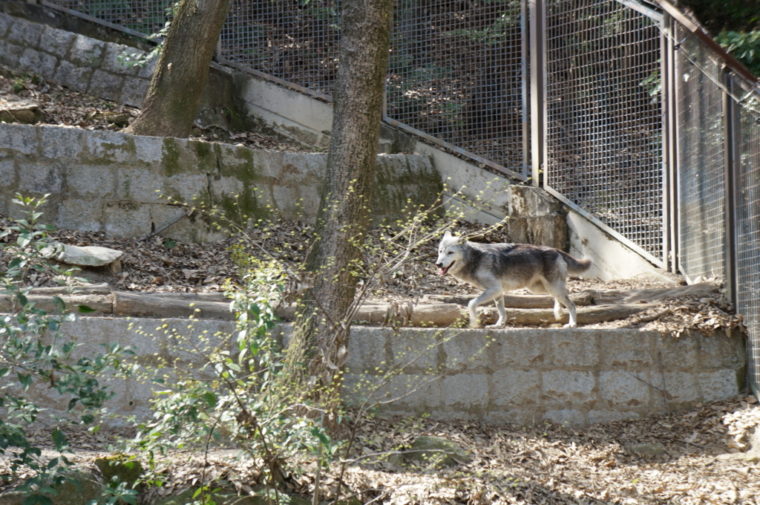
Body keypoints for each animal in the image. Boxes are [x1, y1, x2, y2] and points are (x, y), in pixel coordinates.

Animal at [436, 231, 592, 326]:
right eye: (440, 251)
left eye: (450, 253)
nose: (438, 264)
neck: (475, 258)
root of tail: (556, 250)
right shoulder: (497, 292)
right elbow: (501, 311)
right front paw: (499, 324)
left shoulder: (494, 289)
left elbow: (471, 303)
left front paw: (474, 323)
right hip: (540, 289)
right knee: (559, 297)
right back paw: (558, 312)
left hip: (551, 287)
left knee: (571, 304)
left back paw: (572, 324)